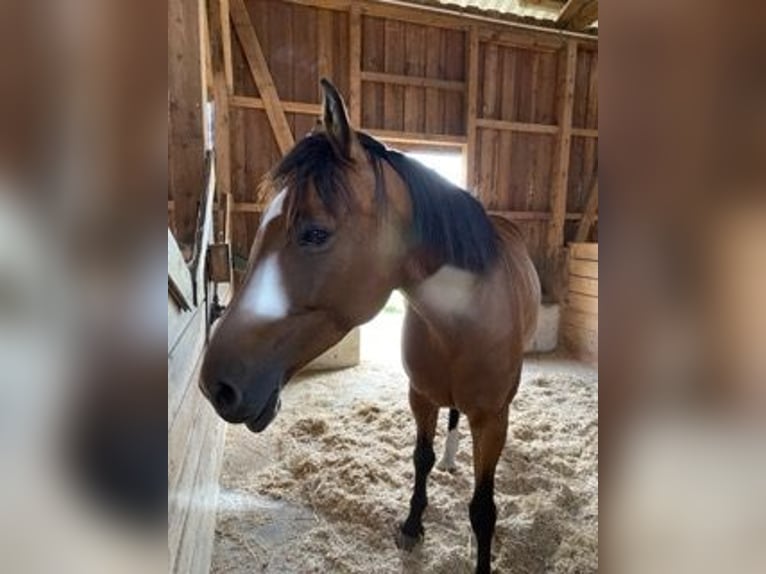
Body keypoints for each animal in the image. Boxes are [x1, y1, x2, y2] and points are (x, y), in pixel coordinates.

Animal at [201, 80, 544, 574]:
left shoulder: (492, 418)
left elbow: (483, 508)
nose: (216, 386)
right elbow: (420, 459)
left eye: (315, 233)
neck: (462, 321)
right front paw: (412, 525)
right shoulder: (421, 396)